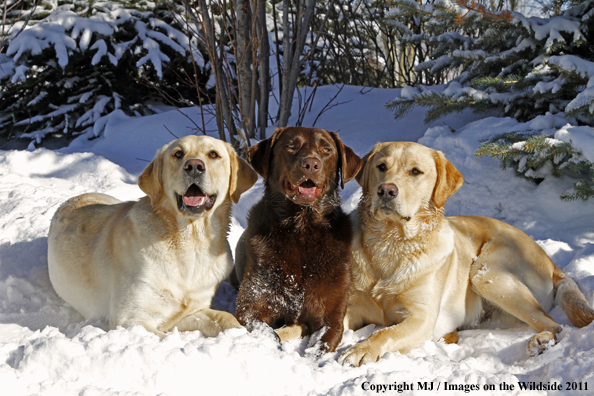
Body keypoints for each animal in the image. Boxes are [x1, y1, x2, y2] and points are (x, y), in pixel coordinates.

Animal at [232, 126, 360, 352]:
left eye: (326, 149)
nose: (311, 164)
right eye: (291, 146)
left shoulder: (331, 318)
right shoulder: (250, 309)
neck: (301, 227)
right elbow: (270, 335)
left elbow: (320, 347)